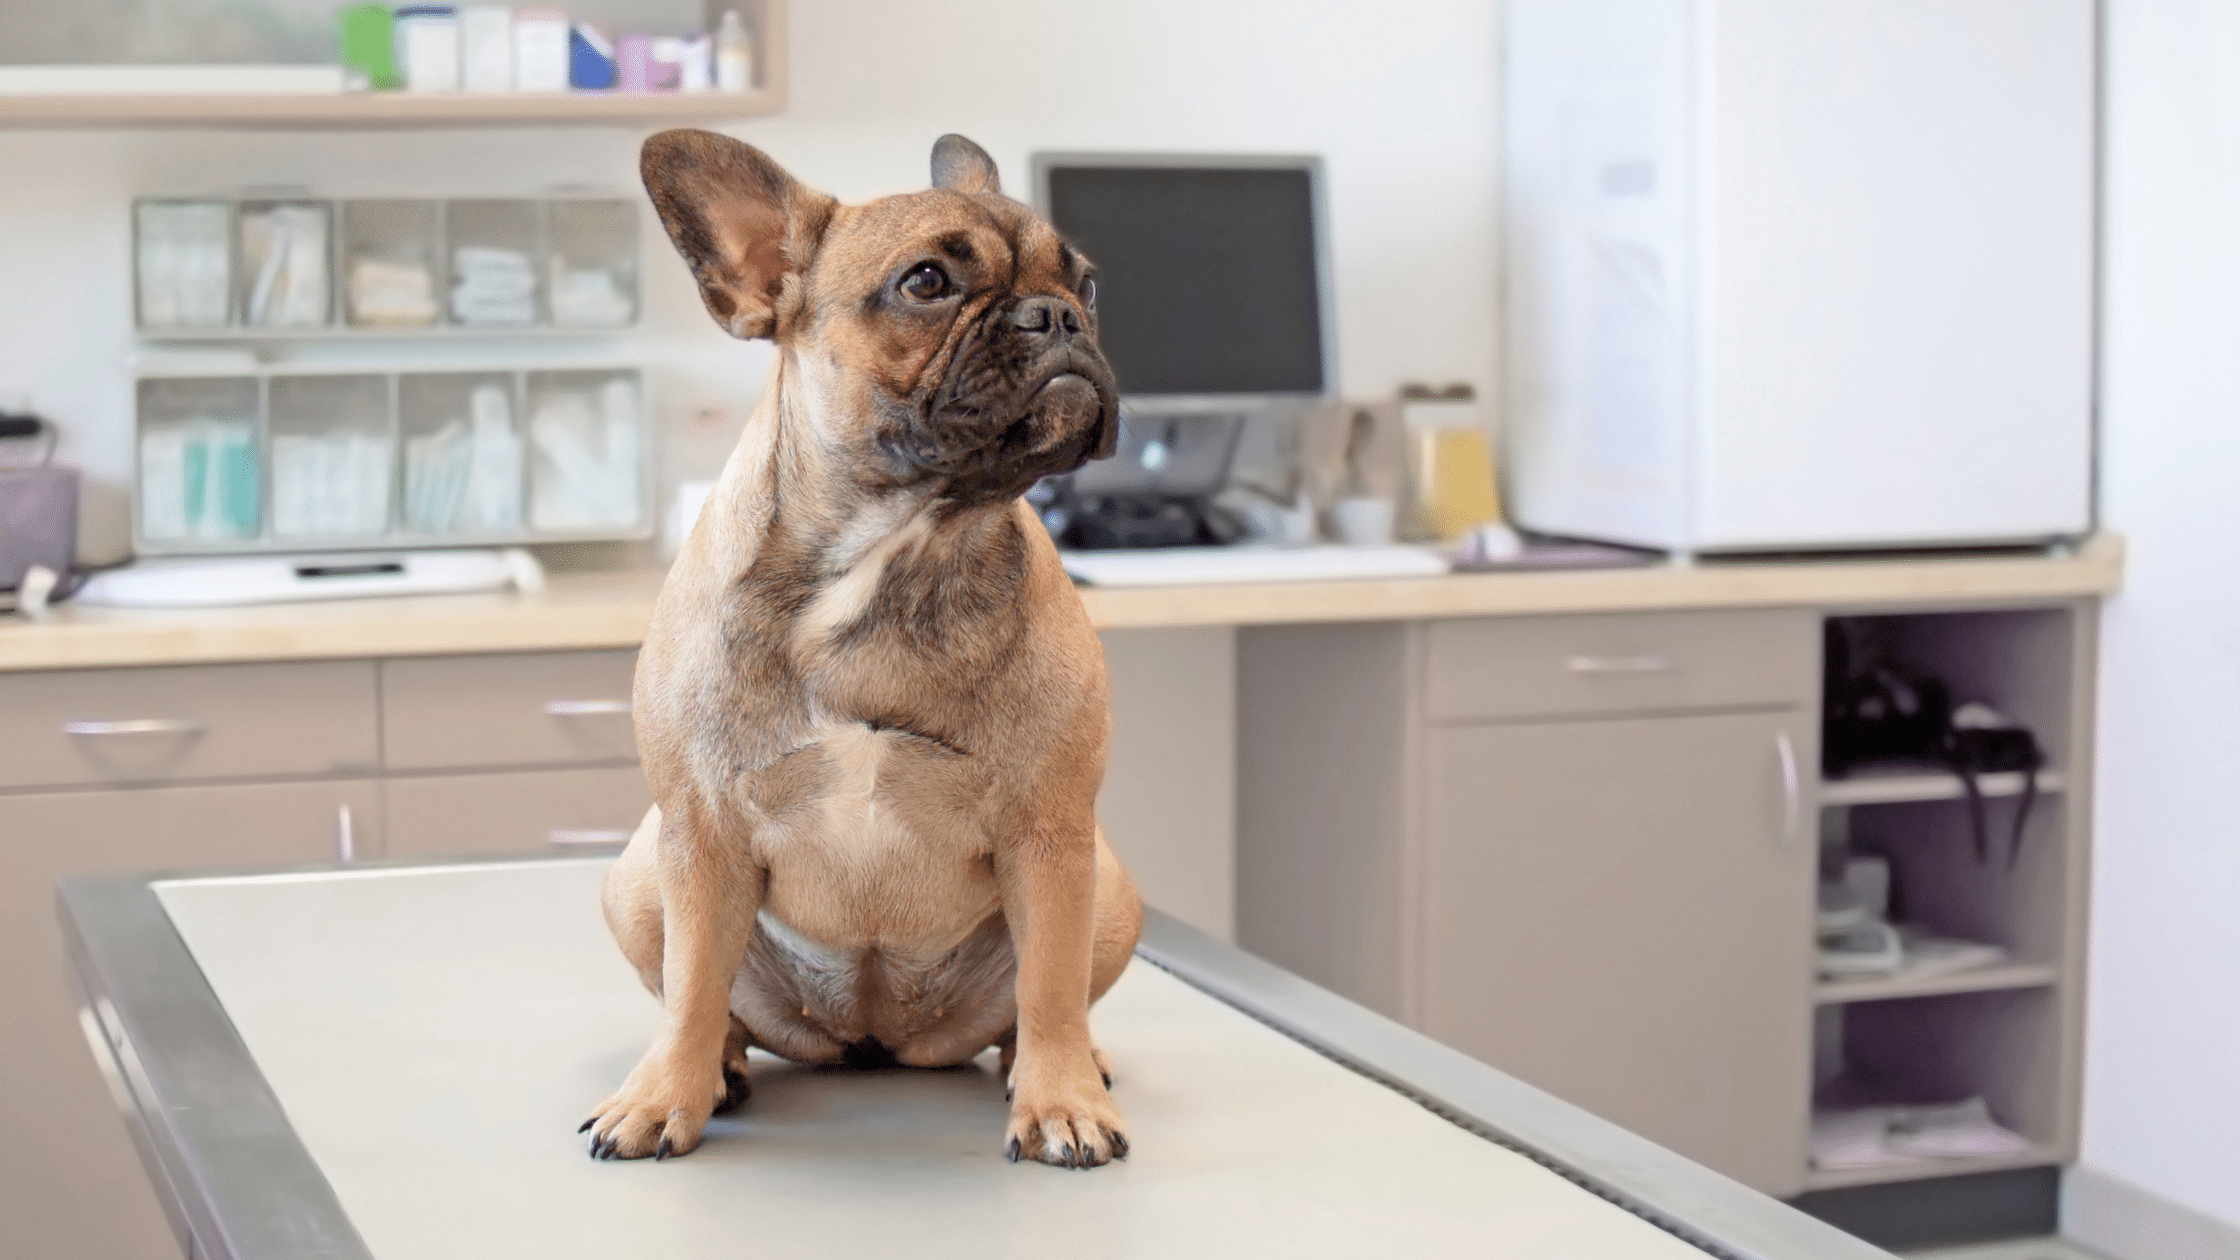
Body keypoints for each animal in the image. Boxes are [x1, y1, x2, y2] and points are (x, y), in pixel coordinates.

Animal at [582, 132, 1137, 1165]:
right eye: (926, 282)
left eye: (1087, 281)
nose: (1061, 316)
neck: (901, 544)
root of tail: (875, 1039)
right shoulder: (700, 833)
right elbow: (689, 985)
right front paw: (661, 1096)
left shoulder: (1050, 835)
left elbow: (1049, 985)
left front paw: (1062, 1102)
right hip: (639, 877)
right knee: (705, 996)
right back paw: (717, 1067)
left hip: (1109, 890)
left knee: (1041, 1004)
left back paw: (1063, 1066)